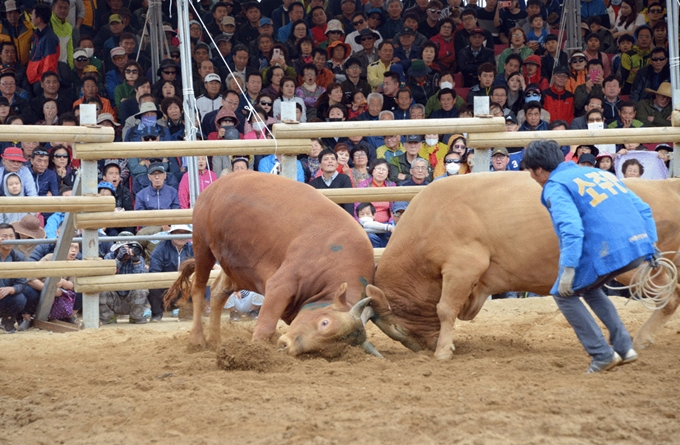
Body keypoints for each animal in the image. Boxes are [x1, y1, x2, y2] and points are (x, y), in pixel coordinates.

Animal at [163, 170, 378, 358]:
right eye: (325, 322)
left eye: (327, 350)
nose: (287, 346)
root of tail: (219, 183)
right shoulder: (280, 285)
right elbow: (265, 326)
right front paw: (254, 353)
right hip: (202, 244)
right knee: (199, 289)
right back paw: (197, 339)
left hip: (238, 269)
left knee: (218, 292)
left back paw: (215, 340)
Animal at [366, 172, 680, 360]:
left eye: (399, 328)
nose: (427, 347)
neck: (430, 219)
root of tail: (667, 186)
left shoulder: (463, 266)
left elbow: (445, 309)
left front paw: (443, 351)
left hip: (637, 265)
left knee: (669, 297)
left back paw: (642, 338)